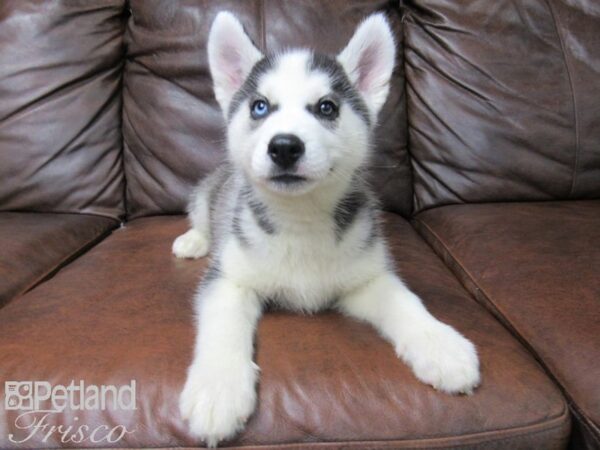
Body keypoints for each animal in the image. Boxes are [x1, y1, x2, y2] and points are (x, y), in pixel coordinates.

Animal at [172, 10, 478, 446]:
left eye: (327, 107)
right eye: (260, 107)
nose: (284, 146)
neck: (301, 220)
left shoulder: (366, 277)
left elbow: (406, 302)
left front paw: (441, 345)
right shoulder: (230, 278)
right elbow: (223, 325)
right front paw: (217, 389)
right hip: (208, 193)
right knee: (200, 213)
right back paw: (193, 240)